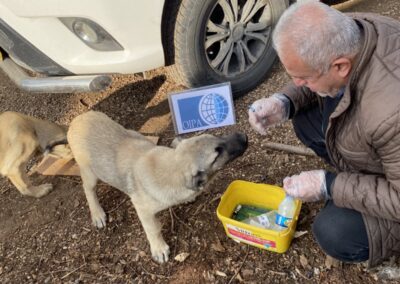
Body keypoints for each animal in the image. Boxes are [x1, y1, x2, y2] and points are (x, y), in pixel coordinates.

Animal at [67, 111, 248, 264]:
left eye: (217, 137)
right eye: (217, 153)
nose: (244, 136)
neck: (171, 168)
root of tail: (75, 121)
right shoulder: (143, 210)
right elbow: (153, 229)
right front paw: (159, 249)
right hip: (90, 173)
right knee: (88, 190)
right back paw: (97, 214)